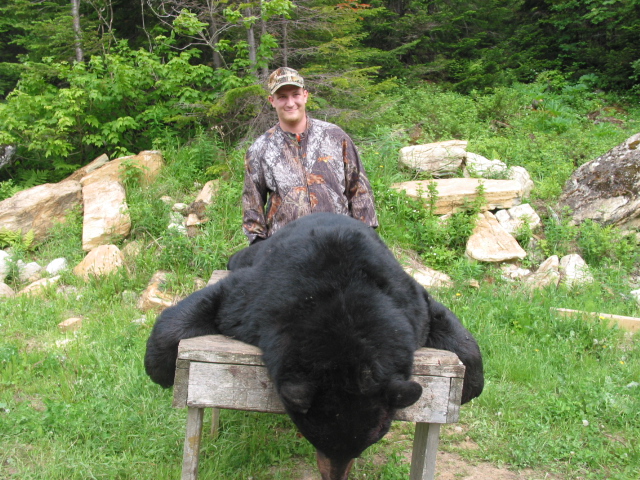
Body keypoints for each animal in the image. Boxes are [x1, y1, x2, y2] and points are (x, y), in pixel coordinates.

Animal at [145, 212, 483, 480]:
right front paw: (160, 370)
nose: (335, 476)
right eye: (318, 441)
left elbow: (453, 329)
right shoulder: (257, 300)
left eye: (364, 446)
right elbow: (207, 303)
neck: (344, 310)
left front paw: (469, 387)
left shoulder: (409, 305)